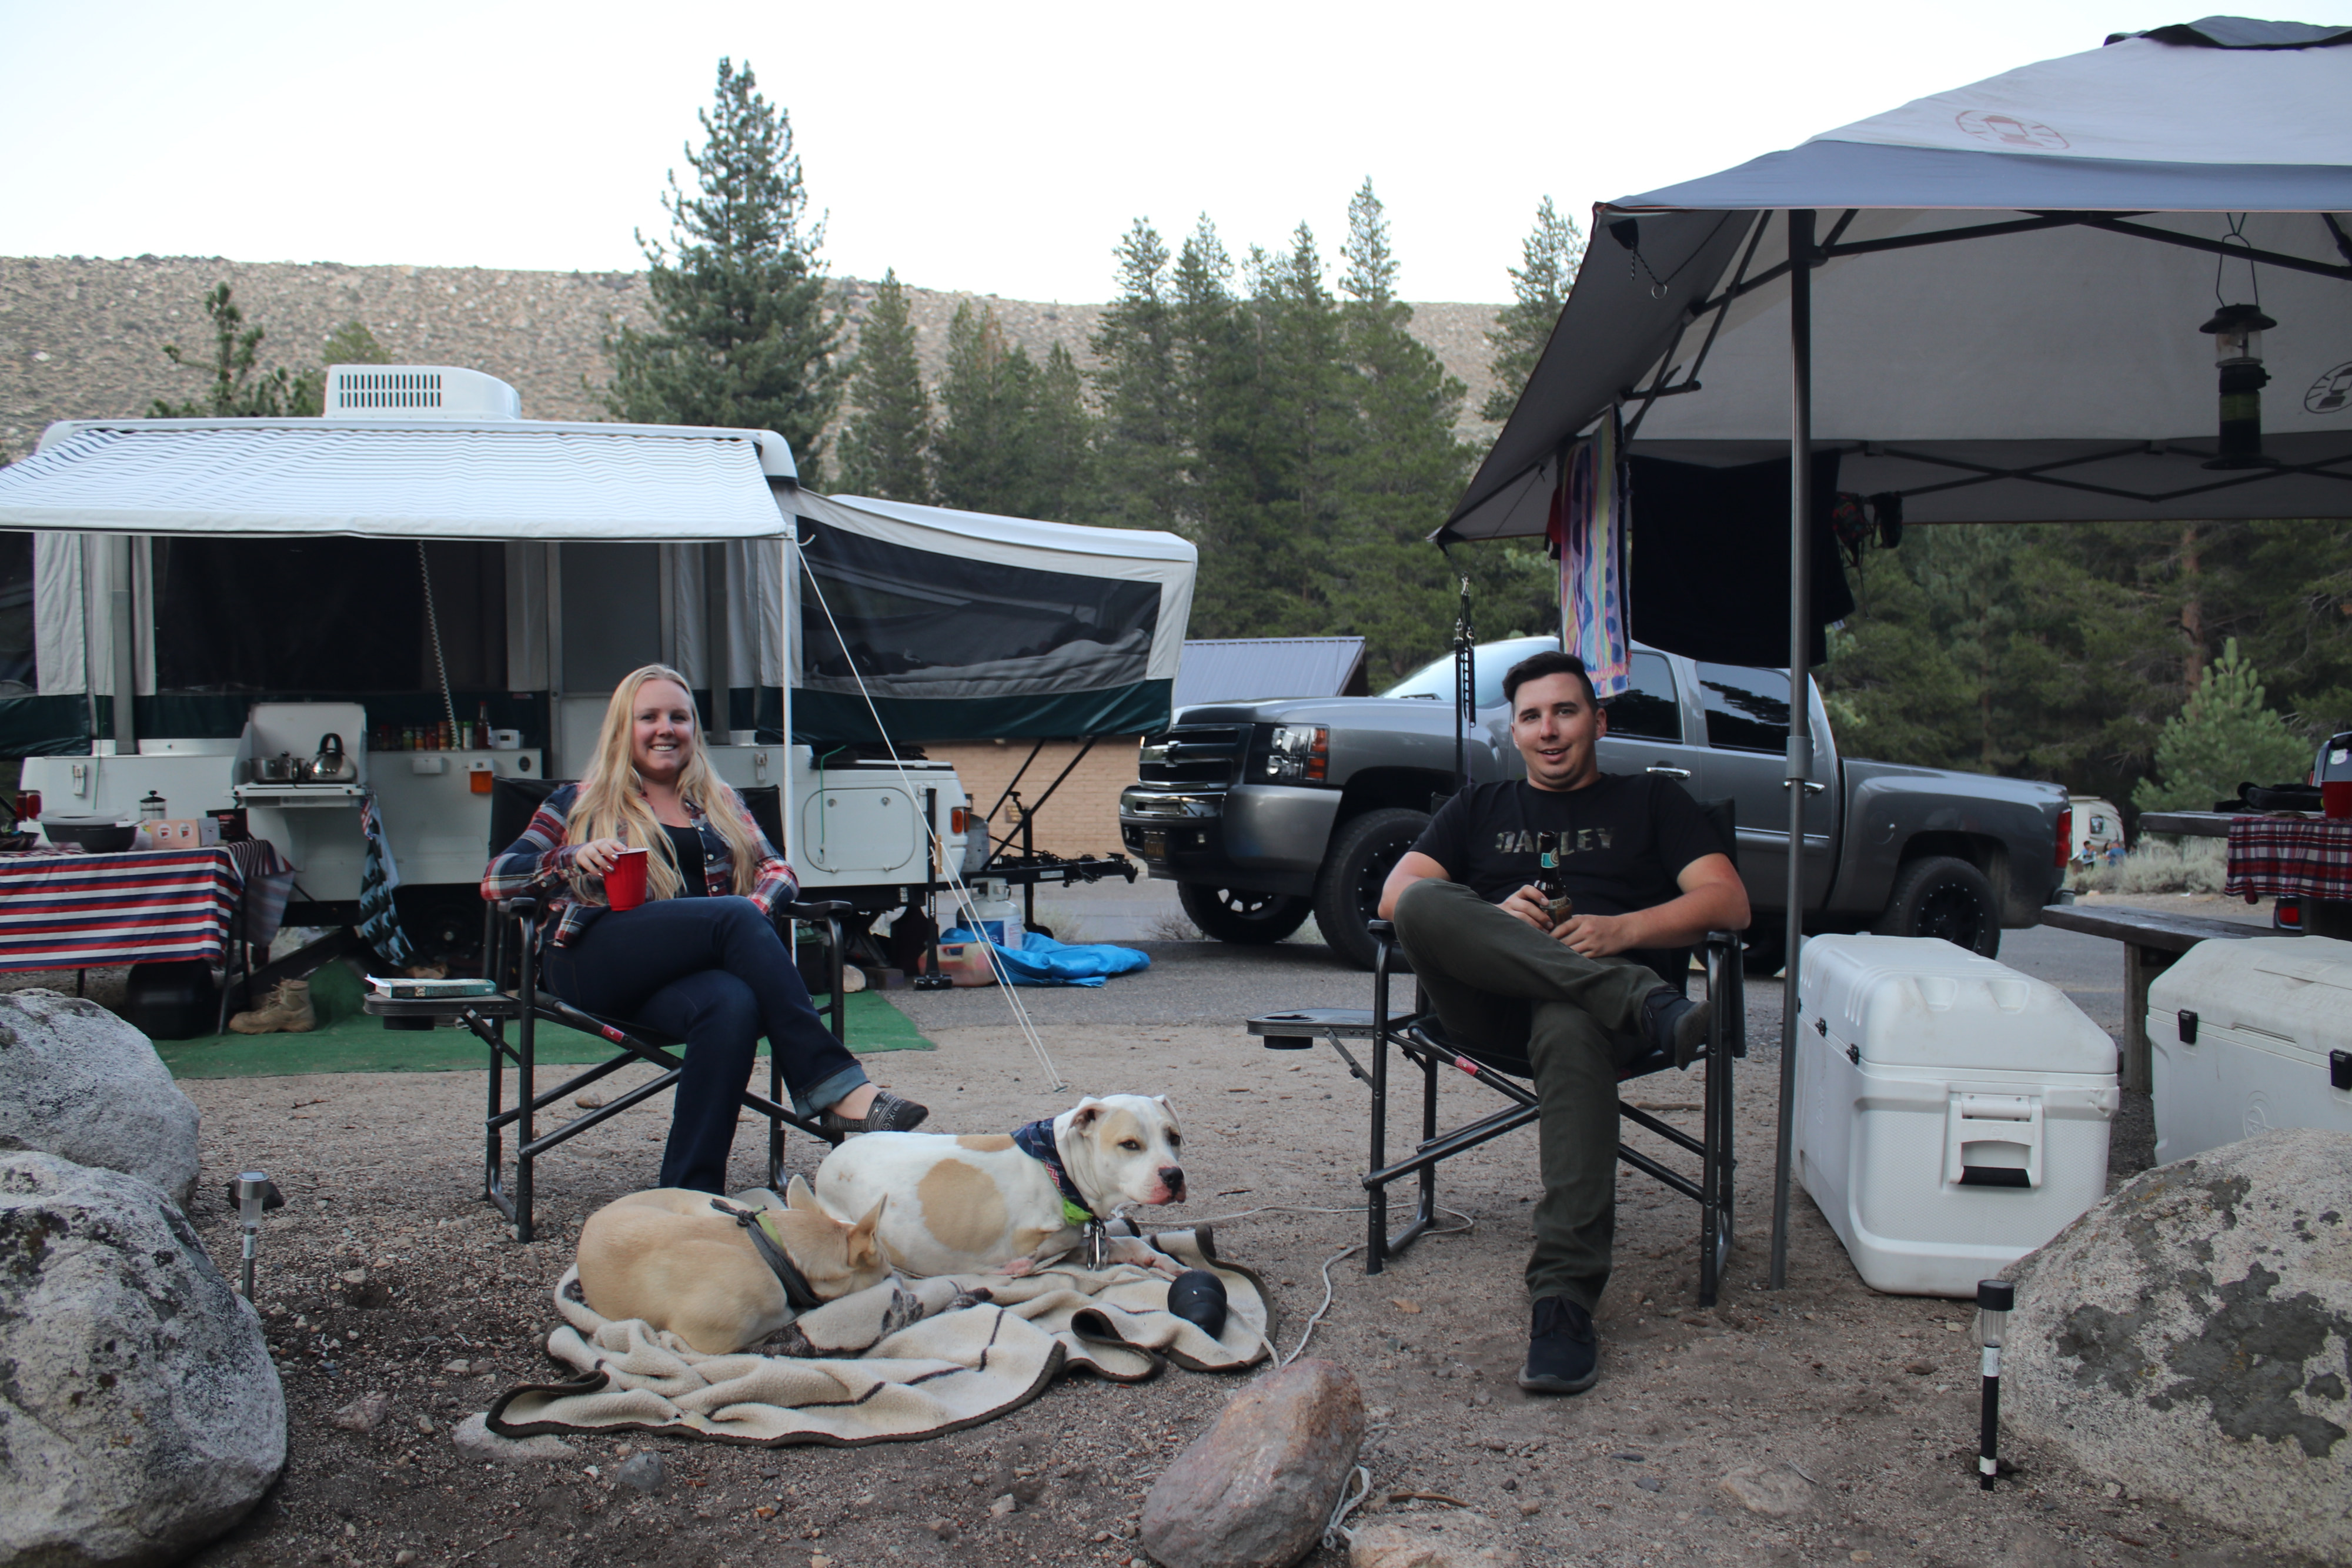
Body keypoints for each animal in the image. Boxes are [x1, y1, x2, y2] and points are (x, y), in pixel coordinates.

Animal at [813, 1093, 1186, 1279]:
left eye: (1174, 1138)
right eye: (1130, 1144)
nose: (1174, 1176)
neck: (1058, 1167)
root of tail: (828, 1164)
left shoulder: (1074, 1244)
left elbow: (1125, 1244)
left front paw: (1162, 1262)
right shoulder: (1026, 1244)